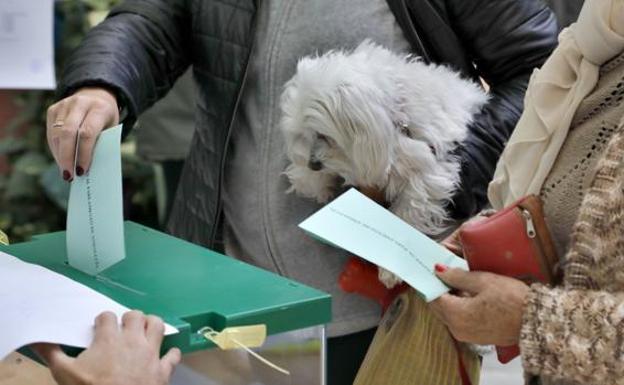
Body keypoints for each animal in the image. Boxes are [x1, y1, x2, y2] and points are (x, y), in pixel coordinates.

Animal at [280, 41, 490, 288]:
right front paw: (310, 180)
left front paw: (392, 266)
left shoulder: (428, 170)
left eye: (323, 135)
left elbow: (408, 211)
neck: (395, 116)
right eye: (303, 134)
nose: (313, 165)